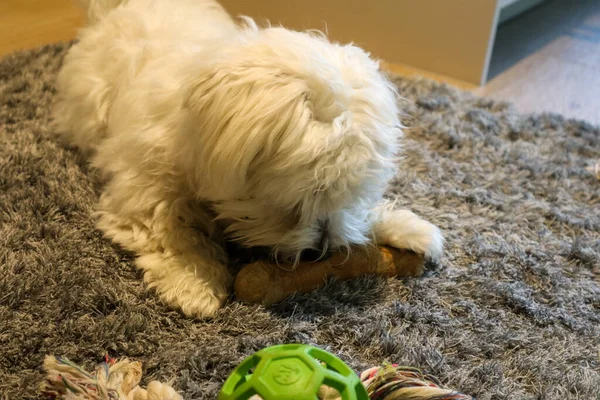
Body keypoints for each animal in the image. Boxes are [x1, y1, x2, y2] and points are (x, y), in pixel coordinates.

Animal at [54, 0, 442, 318]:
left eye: (348, 196)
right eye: (302, 199)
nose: (320, 251)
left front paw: (409, 229)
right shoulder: (143, 189)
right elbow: (172, 232)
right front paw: (193, 282)